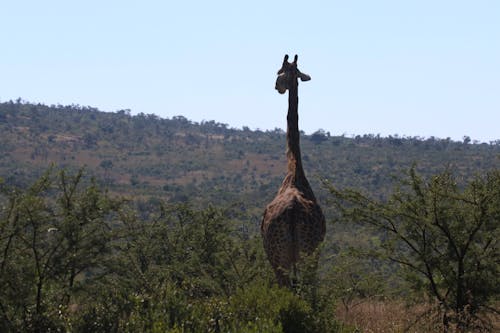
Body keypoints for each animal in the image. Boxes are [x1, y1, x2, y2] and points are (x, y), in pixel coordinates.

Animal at [260, 54, 326, 286]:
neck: (294, 170)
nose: (277, 86)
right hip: (307, 255)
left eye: (279, 71)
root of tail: (292, 211)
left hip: (281, 258)